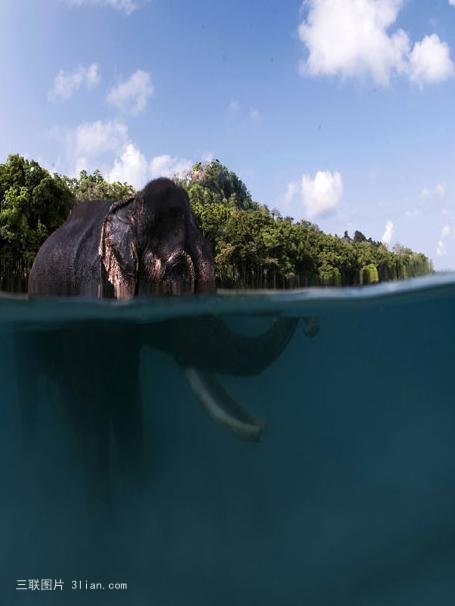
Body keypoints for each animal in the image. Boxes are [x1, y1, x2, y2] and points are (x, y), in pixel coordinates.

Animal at [17, 178, 318, 510]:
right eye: (177, 272)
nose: (310, 323)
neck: (128, 213)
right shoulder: (86, 308)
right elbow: (91, 399)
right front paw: (104, 515)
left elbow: (126, 394)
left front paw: (138, 494)